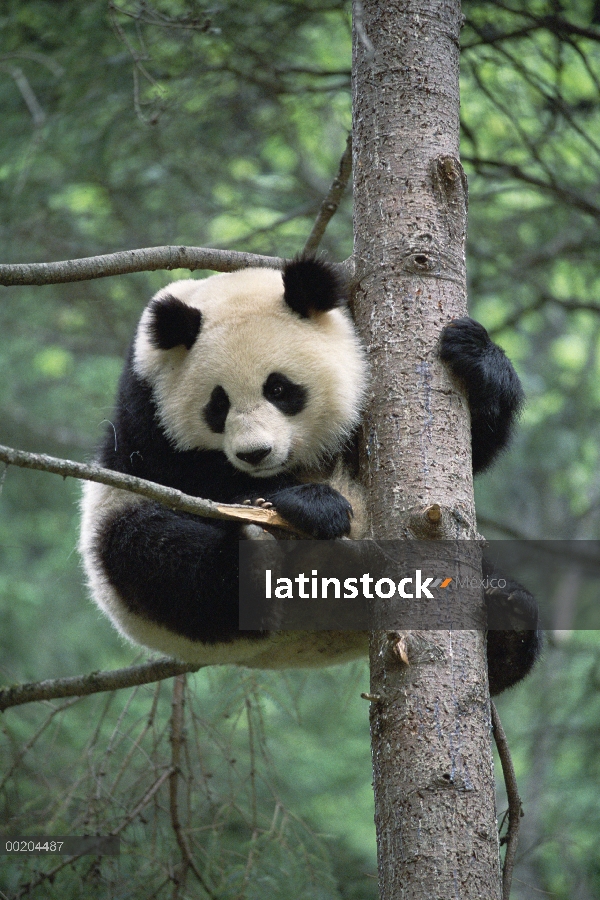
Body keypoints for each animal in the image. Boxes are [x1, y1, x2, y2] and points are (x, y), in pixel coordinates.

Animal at [77, 256, 540, 692]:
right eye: (218, 404)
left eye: (279, 389)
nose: (255, 454)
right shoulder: (146, 408)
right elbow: (184, 475)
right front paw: (314, 504)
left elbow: (473, 447)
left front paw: (474, 355)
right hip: (122, 551)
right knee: (153, 554)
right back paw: (252, 560)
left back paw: (509, 628)